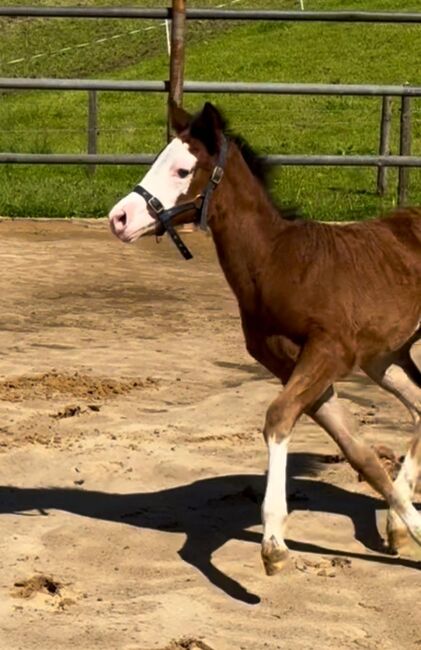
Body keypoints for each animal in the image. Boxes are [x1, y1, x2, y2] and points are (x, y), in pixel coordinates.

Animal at [109, 100, 420, 572]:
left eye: (183, 170)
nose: (119, 218)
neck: (279, 264)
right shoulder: (290, 364)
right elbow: (357, 451)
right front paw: (407, 525)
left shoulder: (328, 351)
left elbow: (277, 417)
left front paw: (273, 542)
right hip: (385, 358)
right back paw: (397, 526)